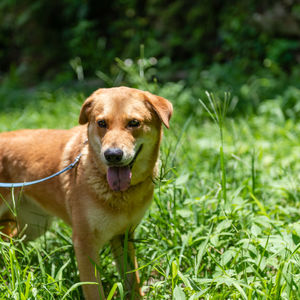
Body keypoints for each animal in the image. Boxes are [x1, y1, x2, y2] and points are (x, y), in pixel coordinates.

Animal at [0, 86, 172, 300]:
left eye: (134, 123)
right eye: (101, 123)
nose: (112, 155)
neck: (119, 194)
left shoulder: (124, 237)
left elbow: (133, 283)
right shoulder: (84, 243)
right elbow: (94, 289)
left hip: (34, 225)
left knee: (11, 244)